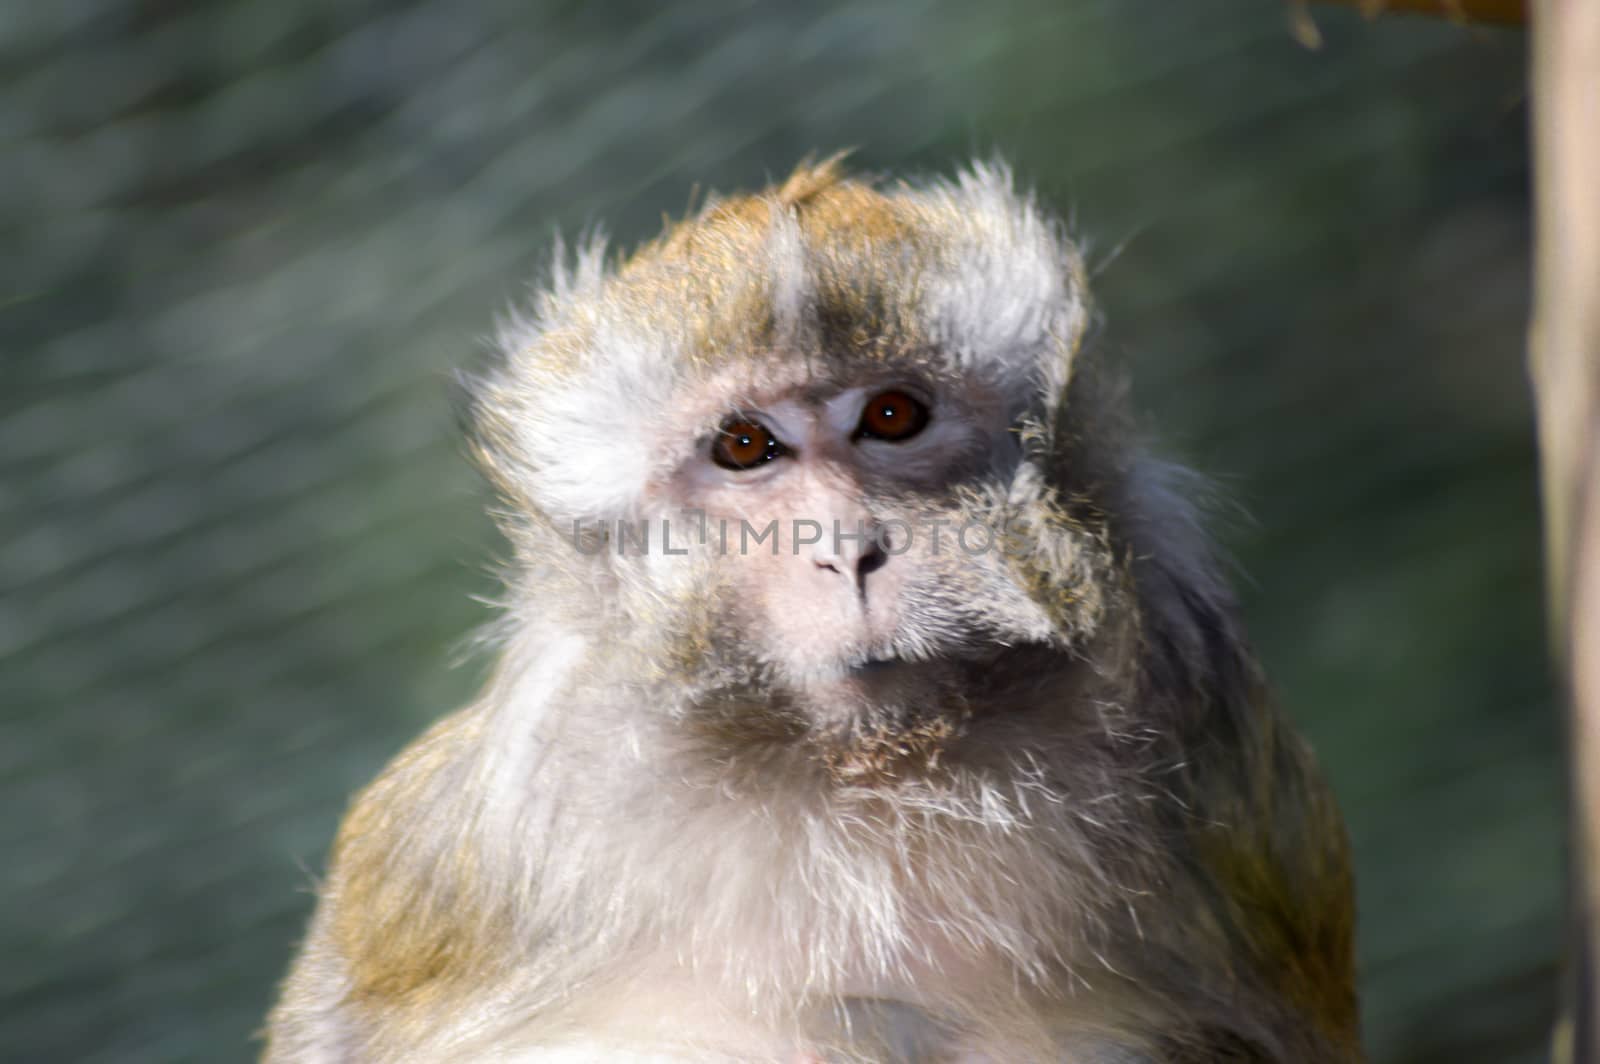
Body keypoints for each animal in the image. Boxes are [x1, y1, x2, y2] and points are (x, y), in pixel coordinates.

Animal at [265, 160, 1363, 1062]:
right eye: (746, 447)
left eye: (892, 417)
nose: (847, 549)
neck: (867, 779)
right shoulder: (500, 818)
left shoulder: (1212, 734)